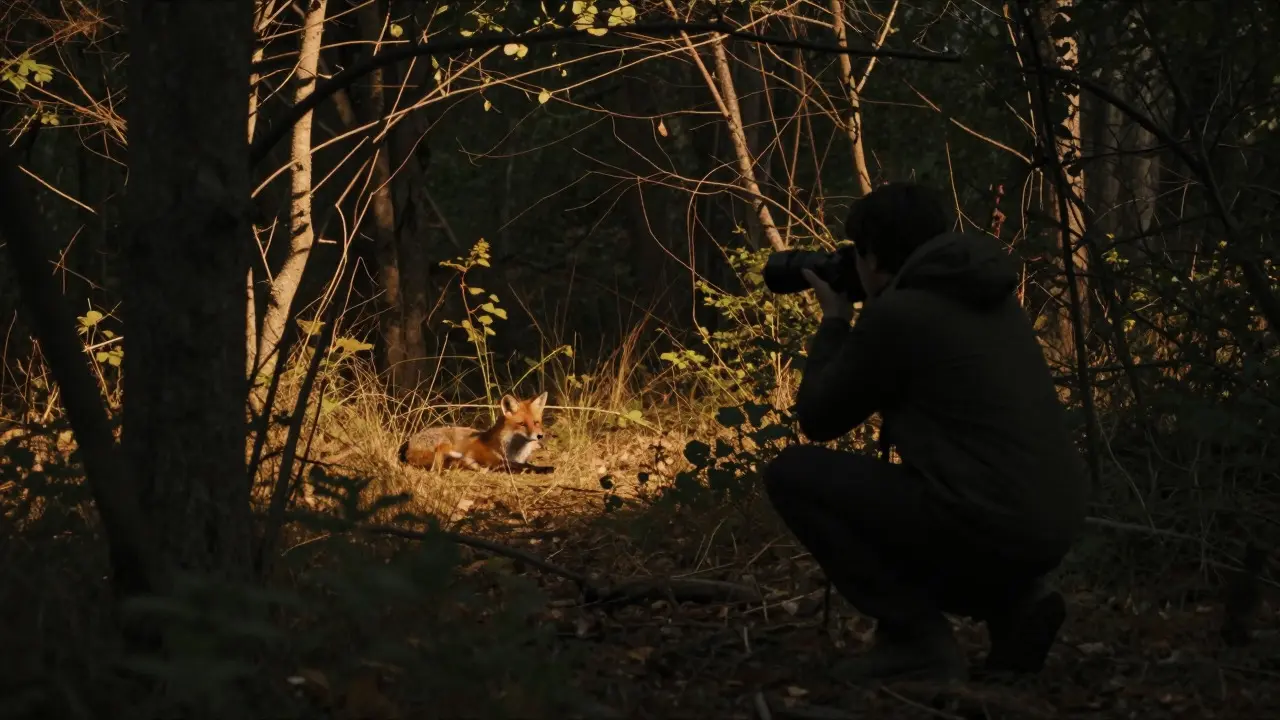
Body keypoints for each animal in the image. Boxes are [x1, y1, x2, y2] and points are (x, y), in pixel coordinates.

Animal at [398, 392, 554, 474]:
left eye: (536, 422)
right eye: (522, 424)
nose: (539, 436)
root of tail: (408, 444)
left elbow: (525, 464)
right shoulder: (494, 461)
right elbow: (523, 466)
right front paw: (544, 468)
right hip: (445, 443)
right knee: (438, 466)